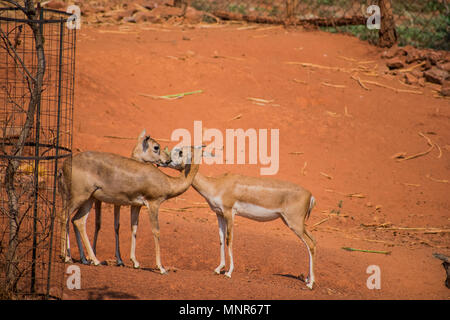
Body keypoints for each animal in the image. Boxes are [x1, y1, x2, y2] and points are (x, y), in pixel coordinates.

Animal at [58, 134, 200, 274]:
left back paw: (86, 259)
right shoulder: (153, 204)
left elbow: (134, 227)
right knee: (64, 216)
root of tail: (64, 166)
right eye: (156, 147)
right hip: (78, 197)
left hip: (88, 200)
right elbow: (156, 231)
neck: (167, 181)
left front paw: (135, 262)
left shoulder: (137, 205)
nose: (168, 161)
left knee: (77, 221)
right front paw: (161, 268)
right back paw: (70, 258)